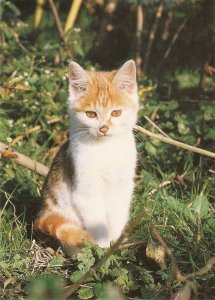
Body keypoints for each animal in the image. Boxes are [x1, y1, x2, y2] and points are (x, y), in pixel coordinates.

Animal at [33, 59, 138, 251]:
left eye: (116, 113)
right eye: (90, 114)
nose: (104, 128)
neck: (106, 149)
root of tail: (42, 213)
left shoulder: (124, 185)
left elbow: (118, 214)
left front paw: (116, 241)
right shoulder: (85, 190)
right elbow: (97, 222)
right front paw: (103, 246)